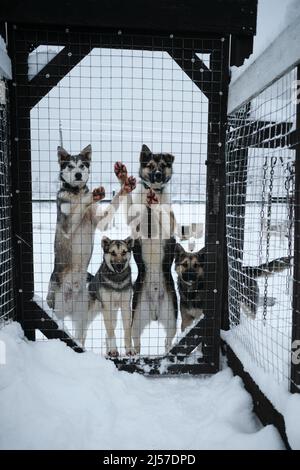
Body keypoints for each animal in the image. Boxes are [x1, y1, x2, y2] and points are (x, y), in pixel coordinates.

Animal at [47, 144, 136, 346]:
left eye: (82, 165)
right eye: (70, 166)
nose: (79, 174)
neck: (75, 192)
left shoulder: (100, 221)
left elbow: (112, 204)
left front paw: (124, 185)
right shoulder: (67, 225)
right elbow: (80, 206)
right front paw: (91, 195)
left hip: (82, 315)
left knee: (79, 335)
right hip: (59, 310)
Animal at [113, 145, 177, 354]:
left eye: (163, 165)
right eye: (150, 165)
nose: (157, 175)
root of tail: (155, 313)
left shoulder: (169, 224)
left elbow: (161, 213)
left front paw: (155, 204)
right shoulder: (133, 219)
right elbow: (132, 206)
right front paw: (123, 178)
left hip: (172, 318)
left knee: (168, 341)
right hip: (136, 318)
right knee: (137, 341)